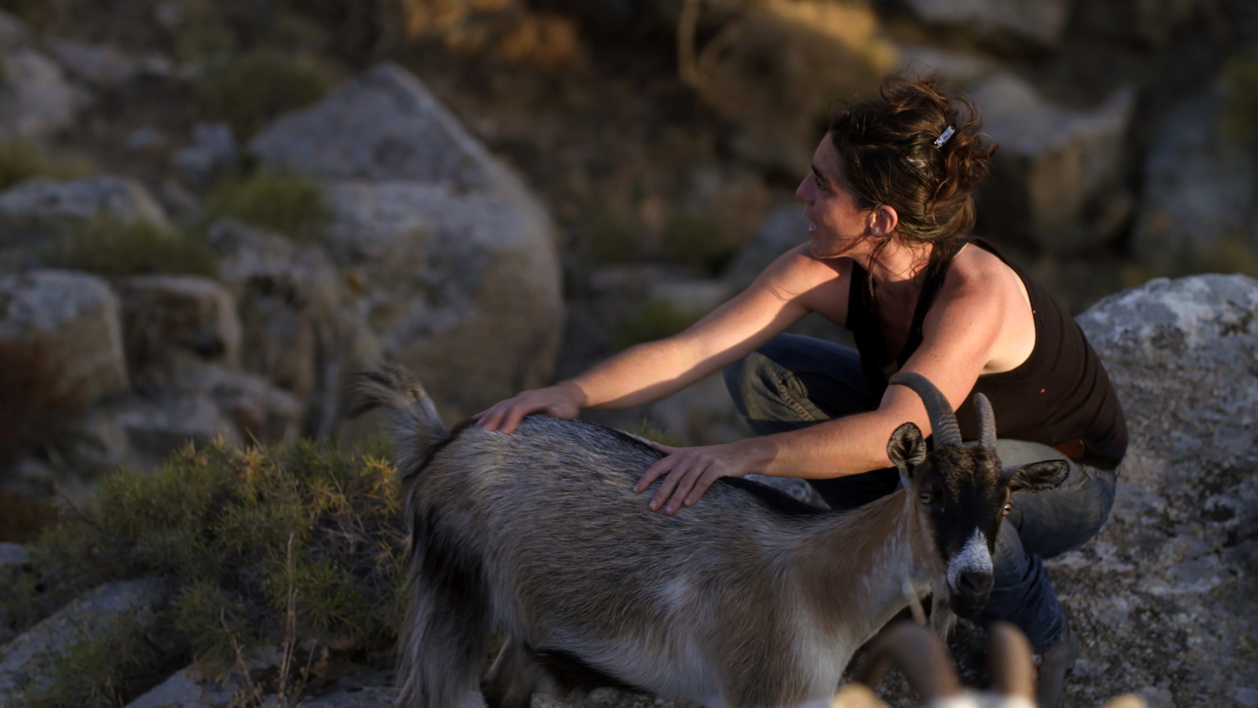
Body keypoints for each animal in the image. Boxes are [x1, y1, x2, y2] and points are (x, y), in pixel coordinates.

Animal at [352, 364, 1071, 708]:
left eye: (1006, 502)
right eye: (931, 492)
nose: (973, 583)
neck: (819, 582)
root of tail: (439, 442)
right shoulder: (755, 694)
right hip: (454, 591)